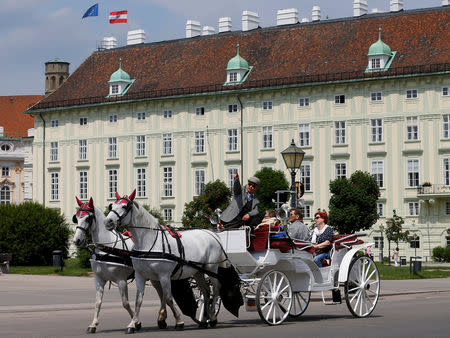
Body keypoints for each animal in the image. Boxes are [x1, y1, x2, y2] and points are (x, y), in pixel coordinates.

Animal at [73, 197, 139, 334]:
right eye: (76, 217)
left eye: (88, 218)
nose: (76, 240)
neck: (106, 249)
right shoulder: (99, 279)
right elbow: (98, 302)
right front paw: (93, 324)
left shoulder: (121, 280)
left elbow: (125, 303)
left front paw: (134, 323)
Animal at [104, 190, 227, 332]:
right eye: (112, 206)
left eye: (124, 206)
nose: (107, 221)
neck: (148, 242)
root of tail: (212, 233)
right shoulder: (140, 275)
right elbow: (138, 300)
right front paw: (133, 324)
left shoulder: (164, 276)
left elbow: (168, 298)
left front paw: (178, 321)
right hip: (197, 271)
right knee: (206, 292)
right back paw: (204, 319)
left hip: (211, 269)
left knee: (216, 289)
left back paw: (212, 317)